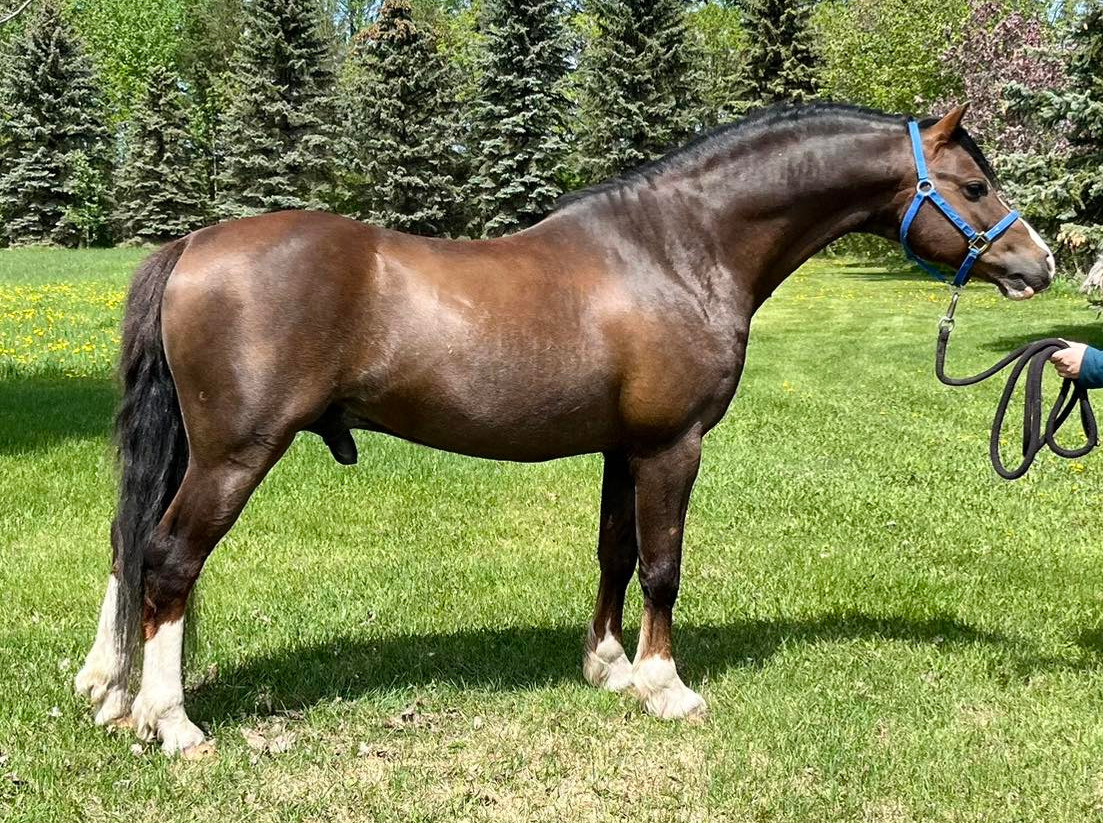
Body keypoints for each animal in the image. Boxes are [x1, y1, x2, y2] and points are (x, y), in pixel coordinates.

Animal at [74, 103, 1055, 754]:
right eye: (972, 184)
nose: (1038, 263)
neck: (674, 249)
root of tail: (194, 246)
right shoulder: (672, 445)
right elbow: (662, 565)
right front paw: (665, 686)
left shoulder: (624, 446)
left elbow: (615, 552)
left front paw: (608, 666)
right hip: (234, 455)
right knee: (169, 559)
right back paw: (173, 723)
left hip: (192, 453)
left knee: (130, 547)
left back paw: (112, 695)